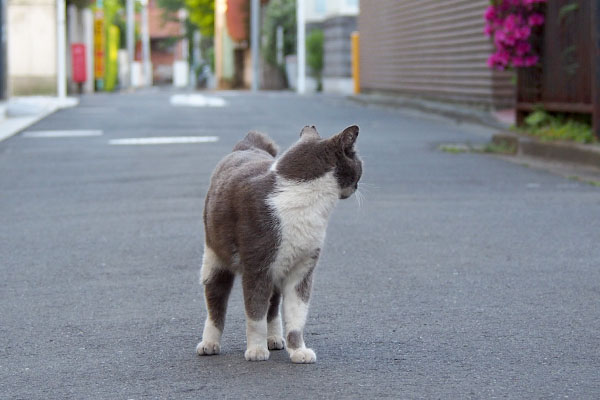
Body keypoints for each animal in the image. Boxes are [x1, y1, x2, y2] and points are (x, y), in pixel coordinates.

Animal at [196, 125, 360, 362]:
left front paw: (299, 351)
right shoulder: (257, 268)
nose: (357, 186)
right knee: (215, 301)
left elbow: (296, 315)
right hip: (215, 256)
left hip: (277, 269)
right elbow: (255, 313)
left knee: (272, 306)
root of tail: (247, 146)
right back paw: (209, 343)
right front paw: (256, 351)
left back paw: (274, 339)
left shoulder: (302, 269)